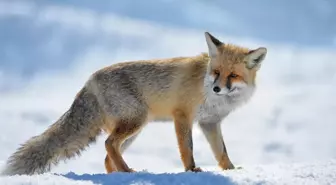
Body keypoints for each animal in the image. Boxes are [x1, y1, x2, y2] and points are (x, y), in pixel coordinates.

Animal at [0, 31, 268, 175]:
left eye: (232, 76)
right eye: (216, 72)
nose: (216, 88)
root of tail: (90, 80)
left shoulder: (209, 123)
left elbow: (221, 151)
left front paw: (232, 170)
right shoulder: (182, 116)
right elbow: (187, 149)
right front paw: (192, 171)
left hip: (134, 131)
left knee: (108, 155)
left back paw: (118, 175)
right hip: (136, 122)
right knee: (108, 144)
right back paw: (127, 172)